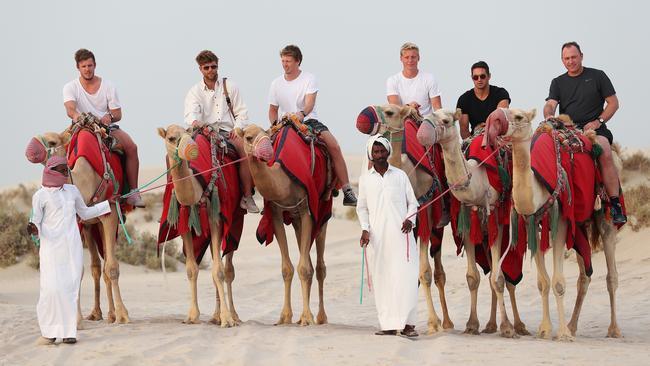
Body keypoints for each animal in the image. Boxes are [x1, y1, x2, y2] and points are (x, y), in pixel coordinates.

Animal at [156, 126, 237, 326]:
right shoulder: (184, 222)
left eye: (187, 133)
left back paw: (233, 315)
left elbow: (218, 271)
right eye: (171, 137)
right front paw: (192, 316)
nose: (191, 148)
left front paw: (227, 319)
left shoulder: (215, 219)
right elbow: (191, 269)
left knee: (227, 267)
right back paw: (215, 316)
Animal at [234, 123, 326, 326]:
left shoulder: (307, 209)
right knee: (307, 259)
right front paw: (285, 317)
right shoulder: (276, 213)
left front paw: (307, 317)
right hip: (296, 220)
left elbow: (304, 268)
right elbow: (287, 268)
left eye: (267, 135)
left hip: (323, 209)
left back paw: (320, 317)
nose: (267, 152)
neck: (284, 181)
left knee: (319, 266)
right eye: (249, 137)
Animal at [416, 108, 528, 338]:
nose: (422, 133)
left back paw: (519, 325)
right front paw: (472, 325)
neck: (477, 179)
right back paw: (490, 325)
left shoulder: (495, 220)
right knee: (491, 273)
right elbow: (473, 277)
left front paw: (507, 327)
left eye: (446, 120)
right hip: (482, 237)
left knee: (508, 277)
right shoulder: (468, 222)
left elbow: (499, 278)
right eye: (429, 115)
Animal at [494, 109, 620, 340]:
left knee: (611, 275)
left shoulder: (560, 221)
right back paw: (573, 325)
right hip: (580, 225)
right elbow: (543, 282)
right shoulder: (534, 224)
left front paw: (561, 334)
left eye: (518, 116)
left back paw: (613, 329)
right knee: (584, 276)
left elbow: (558, 283)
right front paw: (545, 329)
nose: (497, 124)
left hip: (604, 217)